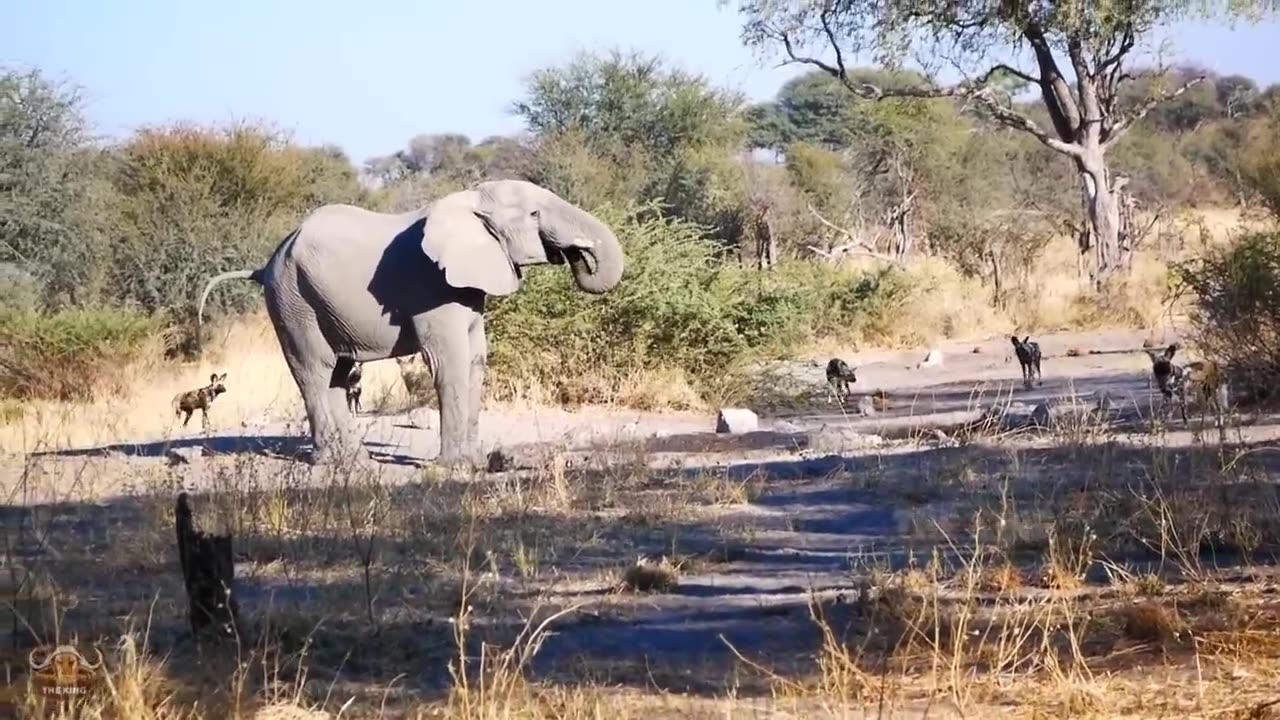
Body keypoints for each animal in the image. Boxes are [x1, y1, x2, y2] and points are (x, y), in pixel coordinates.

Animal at [196, 179, 624, 466]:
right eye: (534, 214)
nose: (577, 252)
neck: (468, 201)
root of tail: (265, 264)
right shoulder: (431, 285)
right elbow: (449, 362)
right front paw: (454, 468)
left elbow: (476, 360)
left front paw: (476, 463)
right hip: (292, 300)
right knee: (314, 371)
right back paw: (332, 464)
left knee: (338, 374)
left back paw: (356, 462)